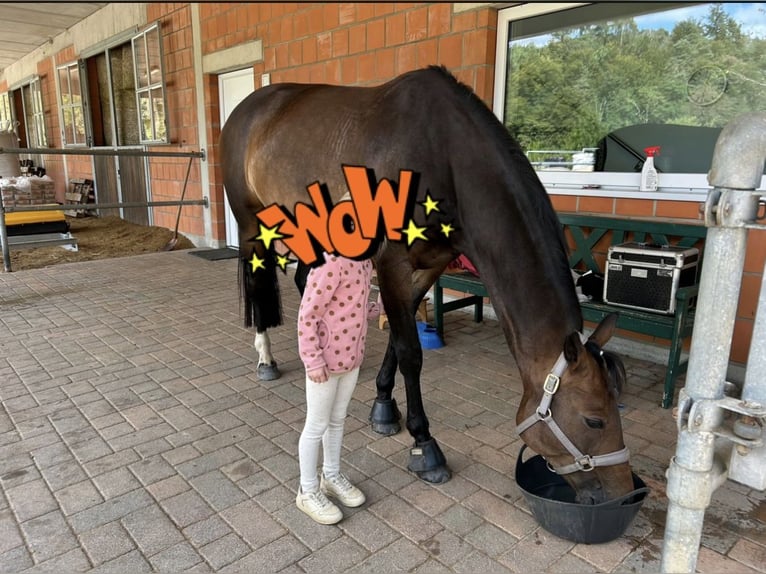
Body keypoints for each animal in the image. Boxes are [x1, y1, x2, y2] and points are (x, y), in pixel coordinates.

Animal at [222, 66, 636, 504]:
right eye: (593, 420)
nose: (625, 493)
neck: (444, 158)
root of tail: (249, 108)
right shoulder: (391, 263)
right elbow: (410, 352)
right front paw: (424, 444)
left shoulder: (428, 266)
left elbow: (398, 336)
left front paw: (383, 405)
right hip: (252, 225)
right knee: (258, 283)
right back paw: (266, 359)